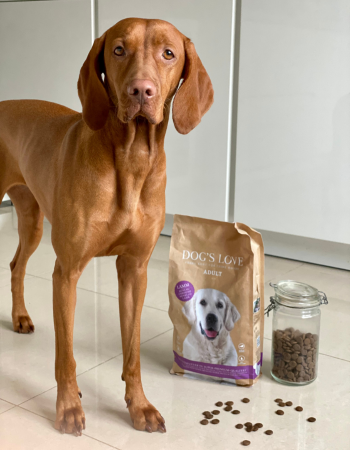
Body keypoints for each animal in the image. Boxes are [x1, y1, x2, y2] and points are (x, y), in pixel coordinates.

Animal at [0, 18, 213, 436]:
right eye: (118, 49)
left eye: (169, 53)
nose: (141, 90)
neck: (131, 158)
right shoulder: (66, 272)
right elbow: (65, 357)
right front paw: (68, 407)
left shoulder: (134, 270)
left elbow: (132, 354)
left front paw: (140, 406)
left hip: (32, 220)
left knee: (16, 265)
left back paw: (19, 317)